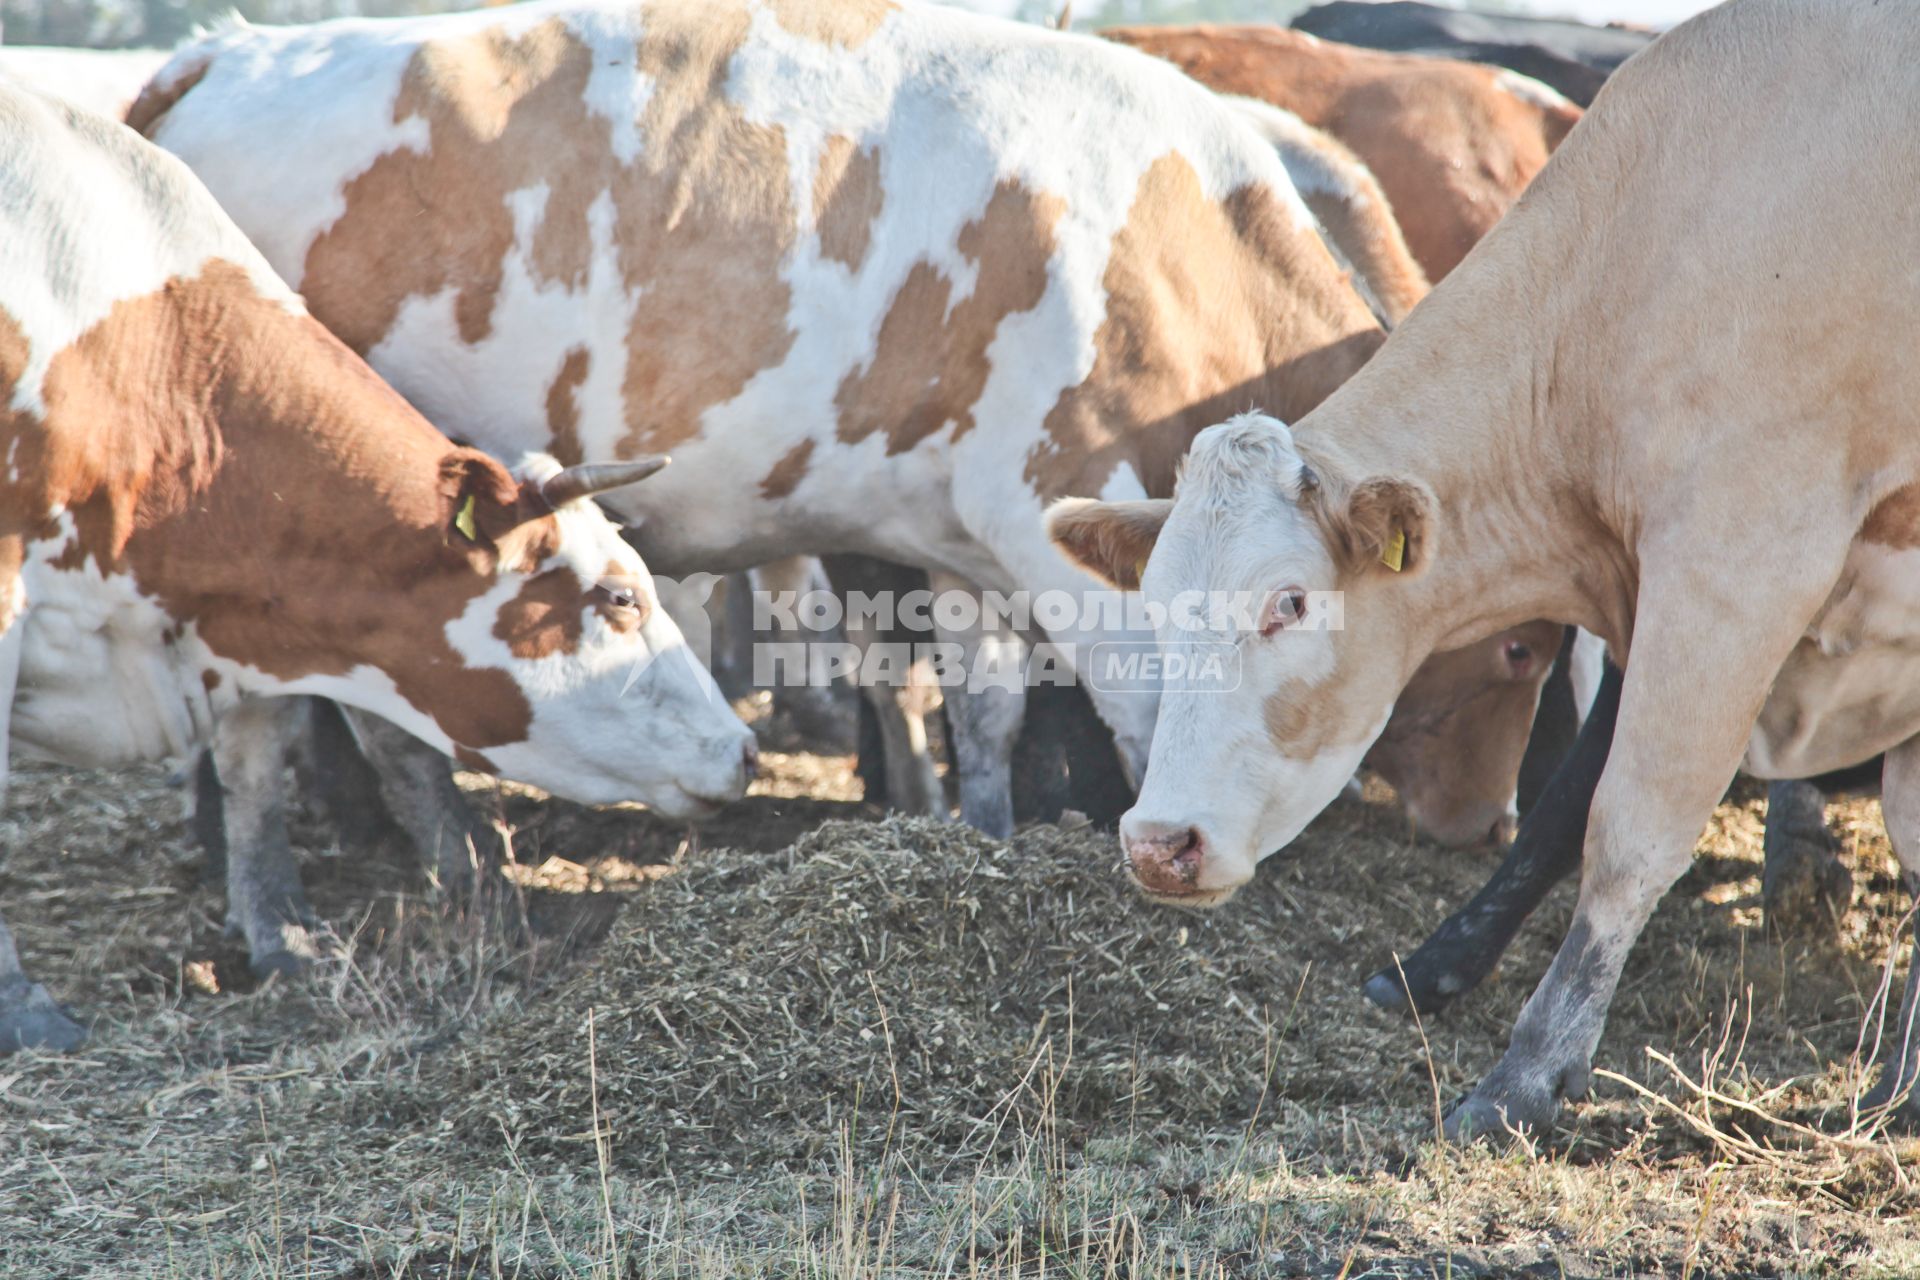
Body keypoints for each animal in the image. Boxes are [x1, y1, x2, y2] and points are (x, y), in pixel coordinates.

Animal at [0, 77, 756, 1051]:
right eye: (621, 597)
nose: (745, 750)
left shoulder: (248, 609)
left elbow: (255, 767)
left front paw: (281, 934)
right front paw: (22, 1002)